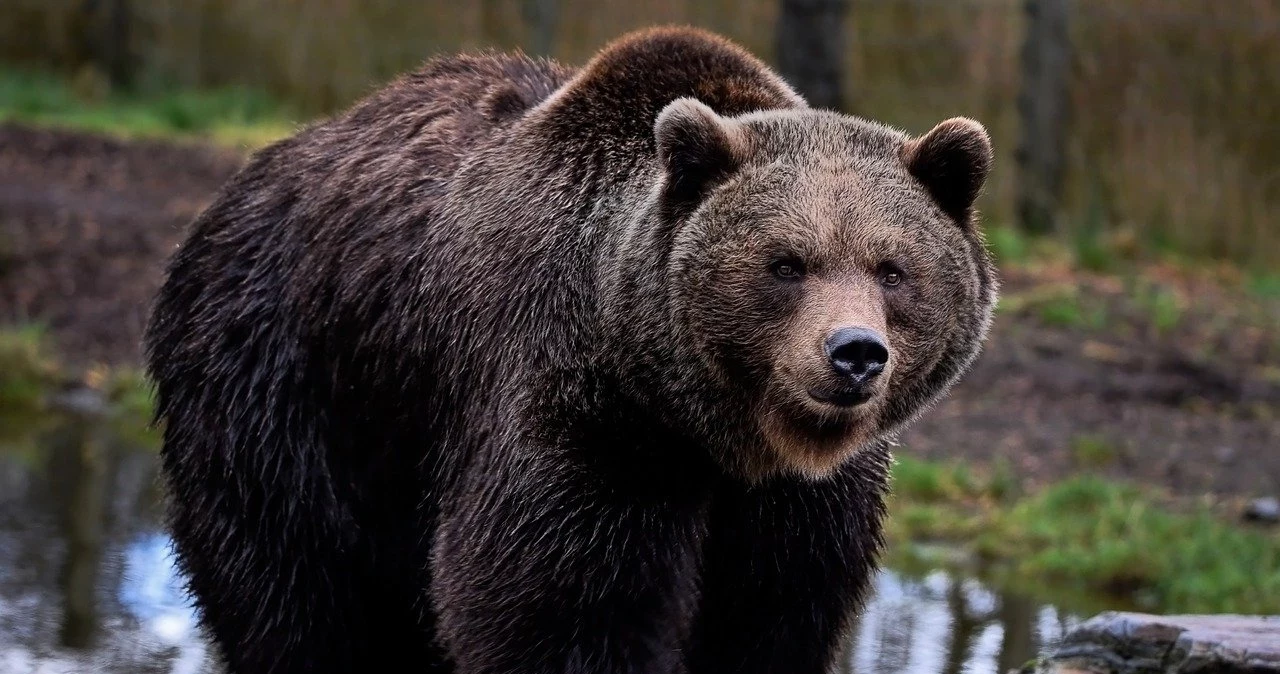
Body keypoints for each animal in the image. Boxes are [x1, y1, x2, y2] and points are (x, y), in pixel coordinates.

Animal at [142, 23, 998, 674]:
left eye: (893, 268)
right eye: (786, 263)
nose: (853, 353)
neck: (707, 431)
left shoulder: (797, 507)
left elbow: (770, 615)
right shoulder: (579, 420)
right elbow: (560, 605)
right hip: (288, 386)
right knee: (296, 594)